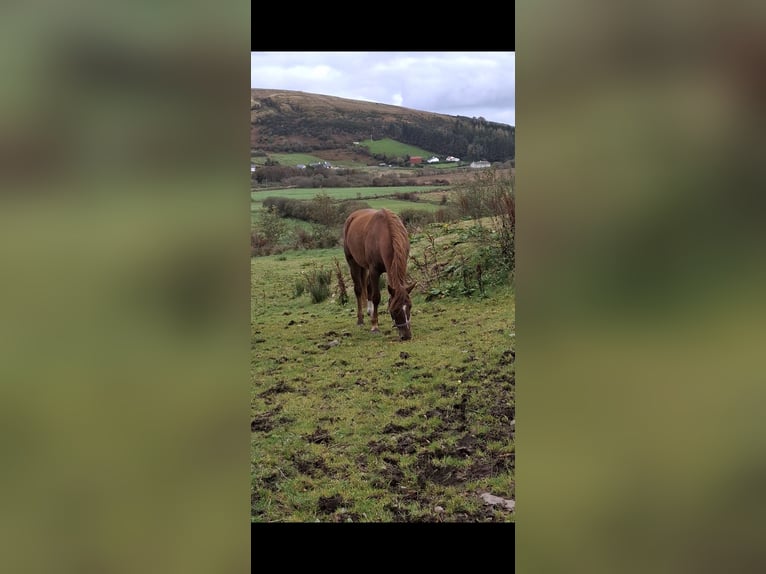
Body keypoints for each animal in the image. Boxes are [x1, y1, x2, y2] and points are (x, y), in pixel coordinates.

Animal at [343, 208, 415, 341]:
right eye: (394, 309)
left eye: (410, 306)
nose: (406, 336)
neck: (384, 235)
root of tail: (352, 216)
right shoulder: (374, 271)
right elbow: (376, 297)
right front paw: (375, 326)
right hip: (353, 262)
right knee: (359, 290)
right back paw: (360, 320)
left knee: (368, 287)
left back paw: (370, 312)